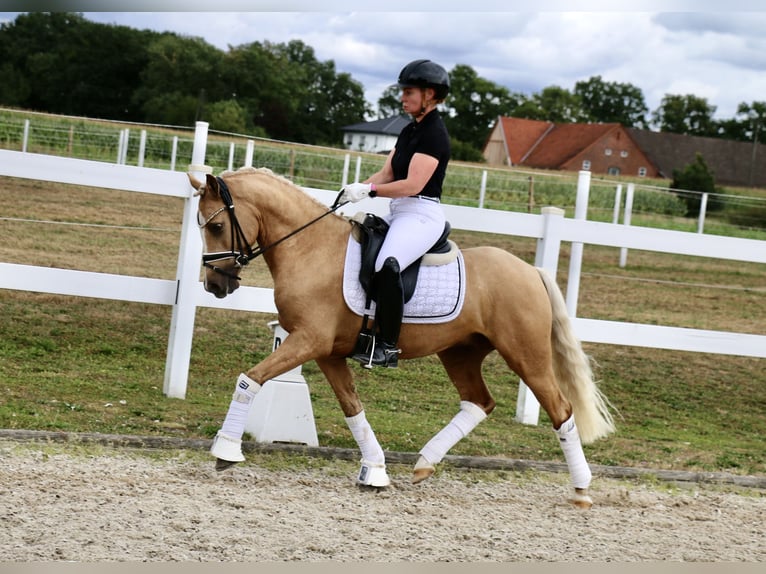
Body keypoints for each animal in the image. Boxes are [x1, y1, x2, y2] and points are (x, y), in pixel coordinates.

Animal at [190, 166, 615, 508]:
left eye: (216, 226)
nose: (214, 285)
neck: (310, 249)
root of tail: (532, 271)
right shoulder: (326, 351)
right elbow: (352, 408)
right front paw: (375, 471)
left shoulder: (309, 341)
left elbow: (251, 379)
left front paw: (225, 451)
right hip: (460, 353)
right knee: (479, 402)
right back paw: (425, 463)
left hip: (527, 355)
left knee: (561, 410)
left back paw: (581, 490)